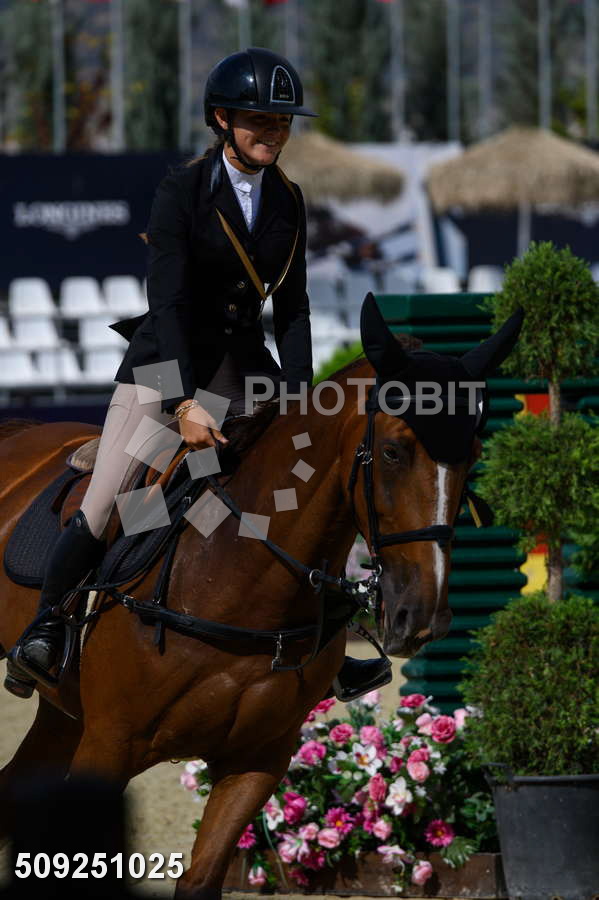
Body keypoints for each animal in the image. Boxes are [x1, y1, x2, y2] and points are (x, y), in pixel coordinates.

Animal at [0, 295, 523, 898]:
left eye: (473, 455)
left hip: (64, 712)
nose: (422, 617)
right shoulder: (110, 744)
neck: (236, 575)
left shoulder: (256, 761)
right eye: (392, 452)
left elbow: (202, 879)